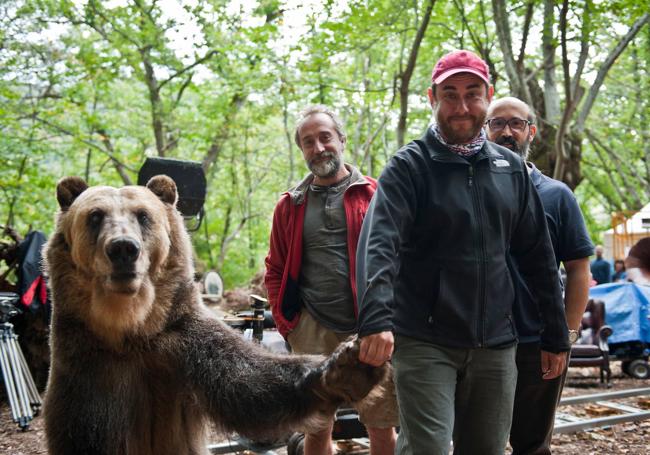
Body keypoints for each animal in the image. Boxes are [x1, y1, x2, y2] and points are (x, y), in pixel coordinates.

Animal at [44, 175, 384, 455]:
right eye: (95, 216)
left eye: (143, 215)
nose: (124, 249)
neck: (131, 329)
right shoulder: (87, 367)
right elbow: (88, 432)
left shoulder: (182, 340)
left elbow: (250, 383)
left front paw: (346, 366)